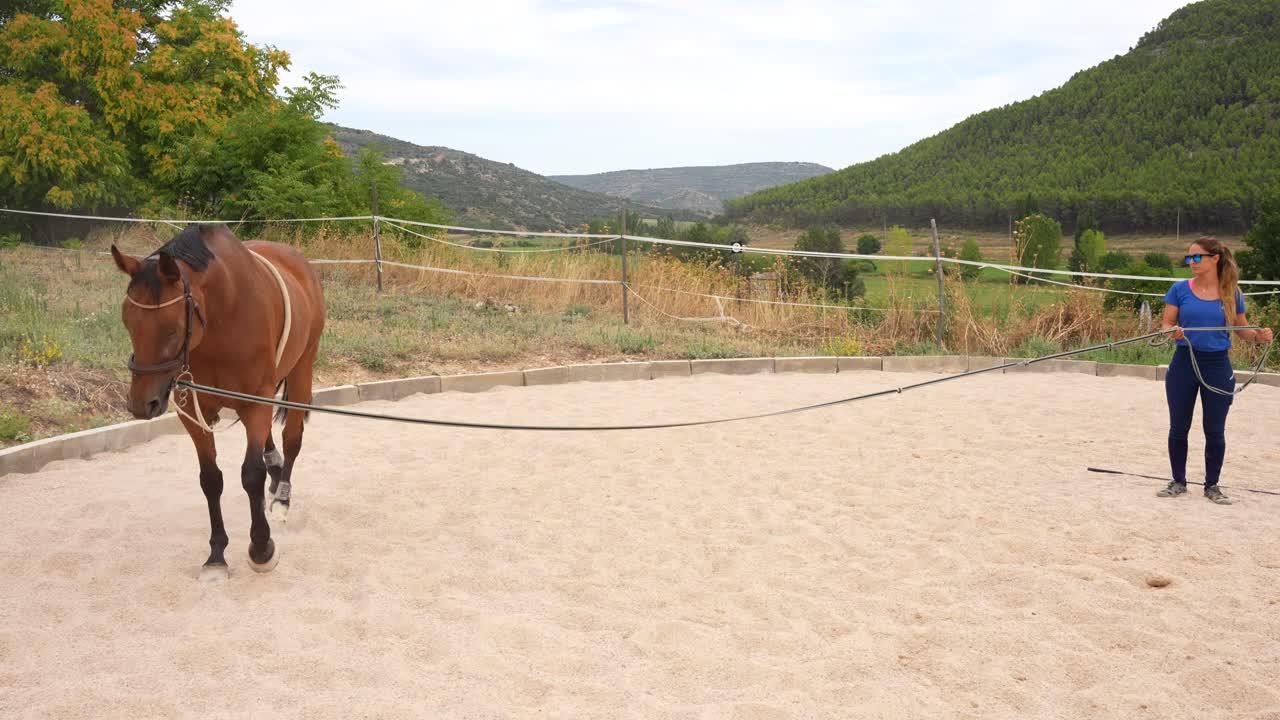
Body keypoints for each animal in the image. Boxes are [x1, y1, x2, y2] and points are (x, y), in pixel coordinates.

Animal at [111, 224, 326, 579]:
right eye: (127, 322)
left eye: (172, 330)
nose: (142, 405)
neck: (224, 316)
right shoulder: (192, 409)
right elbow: (211, 479)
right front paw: (216, 553)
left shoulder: (255, 401)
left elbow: (251, 475)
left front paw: (261, 548)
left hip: (301, 369)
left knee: (292, 438)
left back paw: (282, 500)